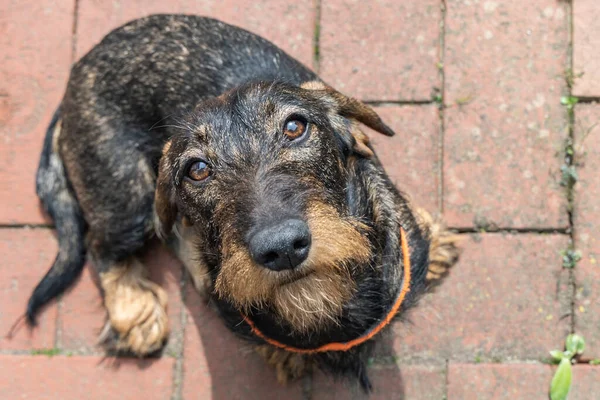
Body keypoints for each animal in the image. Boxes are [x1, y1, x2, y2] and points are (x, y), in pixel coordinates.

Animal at [25, 14, 460, 390]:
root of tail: (74, 81)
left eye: (295, 127)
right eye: (197, 169)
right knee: (102, 246)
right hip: (128, 199)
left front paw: (435, 242)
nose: (282, 248)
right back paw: (135, 310)